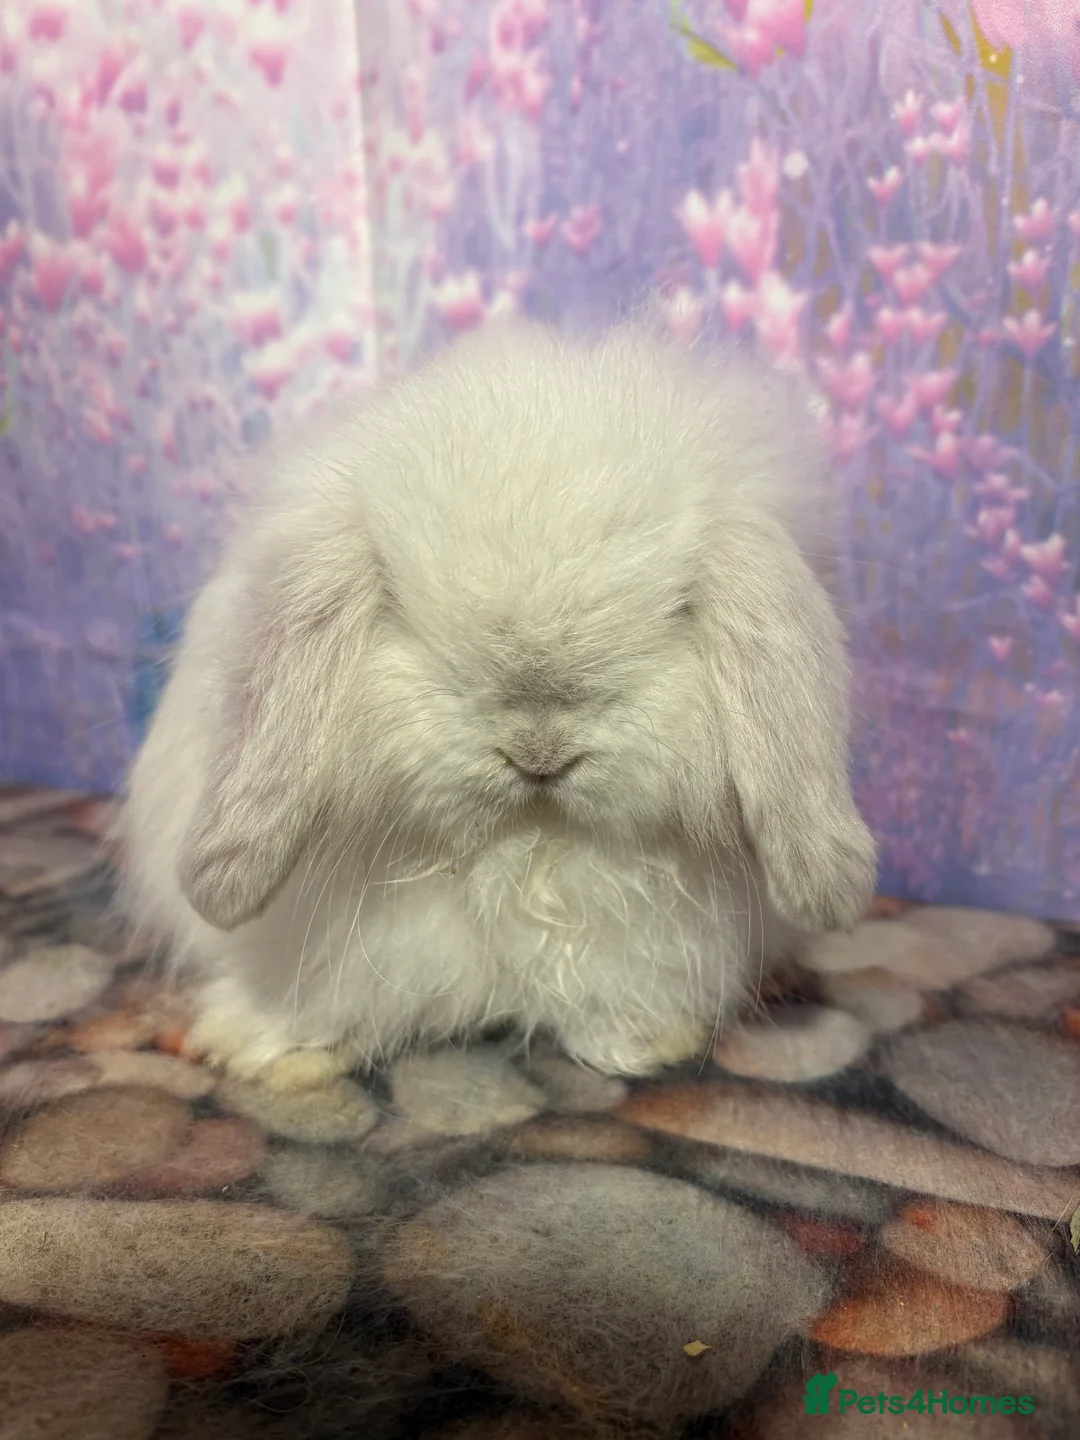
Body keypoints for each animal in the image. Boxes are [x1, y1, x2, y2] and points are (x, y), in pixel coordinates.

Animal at [118, 318, 876, 1091]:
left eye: (680, 607)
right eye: (396, 604)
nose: (540, 750)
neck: (523, 851)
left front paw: (648, 1043)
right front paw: (269, 1052)